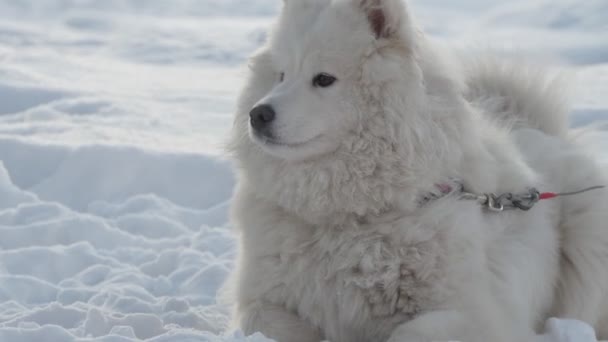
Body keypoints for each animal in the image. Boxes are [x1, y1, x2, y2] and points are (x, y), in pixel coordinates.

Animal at [226, 1, 608, 340]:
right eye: (281, 75)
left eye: (323, 79)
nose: (258, 114)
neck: (354, 217)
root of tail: (537, 129)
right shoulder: (263, 298)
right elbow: (263, 320)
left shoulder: (479, 314)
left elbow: (409, 331)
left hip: (588, 237)